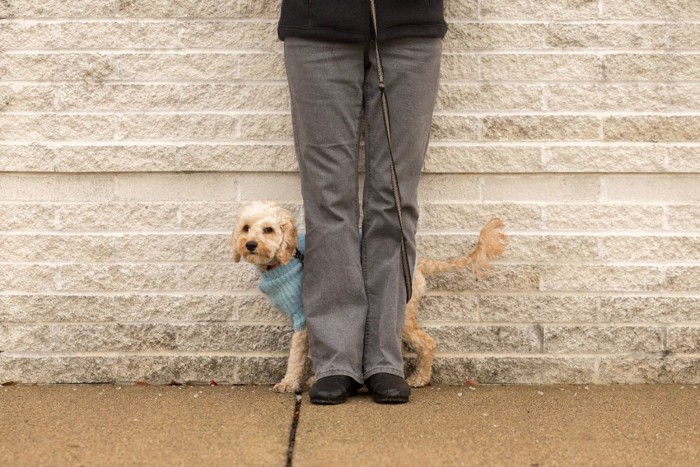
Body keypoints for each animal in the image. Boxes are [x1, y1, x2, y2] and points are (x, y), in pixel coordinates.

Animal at [232, 202, 506, 394]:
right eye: (245, 228)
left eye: (268, 229)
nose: (250, 244)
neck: (288, 258)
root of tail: (420, 262)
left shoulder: (304, 317)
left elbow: (297, 356)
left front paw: (289, 383)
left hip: (402, 311)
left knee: (427, 342)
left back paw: (419, 379)